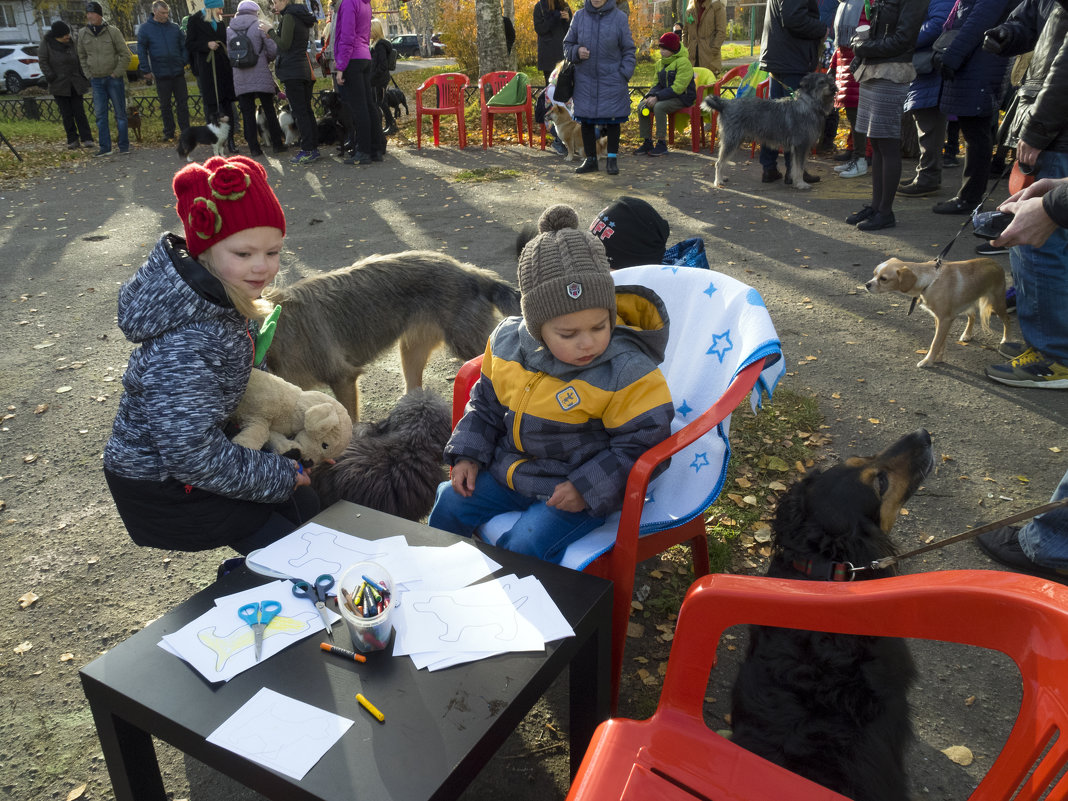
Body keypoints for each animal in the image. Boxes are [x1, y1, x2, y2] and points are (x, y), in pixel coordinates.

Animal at [704, 71, 837, 190]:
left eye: (831, 80)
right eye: (821, 82)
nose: (834, 88)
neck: (808, 104)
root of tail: (725, 104)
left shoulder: (800, 148)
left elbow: (796, 167)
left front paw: (795, 181)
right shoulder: (801, 146)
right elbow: (799, 168)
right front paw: (801, 183)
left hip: (735, 142)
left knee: (722, 162)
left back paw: (722, 177)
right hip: (731, 141)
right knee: (719, 163)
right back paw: (718, 181)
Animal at [867, 258, 1008, 369]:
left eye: (883, 279)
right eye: (874, 274)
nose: (867, 284)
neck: (931, 281)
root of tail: (997, 263)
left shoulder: (945, 320)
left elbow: (935, 343)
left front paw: (928, 361)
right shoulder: (939, 319)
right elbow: (941, 341)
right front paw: (938, 359)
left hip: (997, 305)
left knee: (1008, 320)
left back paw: (1006, 340)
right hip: (968, 303)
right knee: (972, 316)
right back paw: (967, 334)